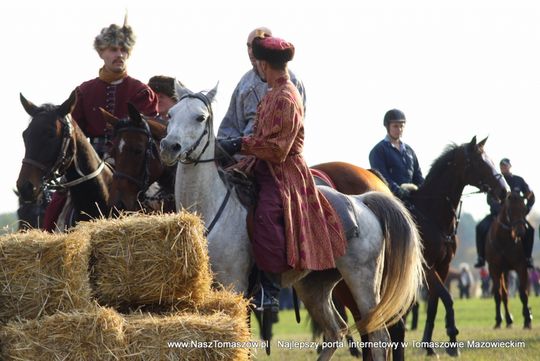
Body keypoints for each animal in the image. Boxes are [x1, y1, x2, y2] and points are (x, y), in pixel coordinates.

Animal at [158, 84, 424, 360]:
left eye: (200, 117)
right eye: (170, 114)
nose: (169, 147)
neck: (210, 206)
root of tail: (361, 201)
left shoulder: (235, 286)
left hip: (362, 281)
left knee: (378, 335)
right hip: (314, 286)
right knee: (336, 330)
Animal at [314, 136, 508, 358]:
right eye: (478, 161)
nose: (504, 190)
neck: (432, 215)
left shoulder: (443, 267)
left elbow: (434, 303)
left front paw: (430, 345)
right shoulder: (426, 267)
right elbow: (447, 297)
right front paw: (452, 339)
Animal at [486, 190, 532, 328]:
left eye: (524, 209)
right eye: (510, 210)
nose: (520, 232)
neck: (503, 241)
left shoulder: (521, 266)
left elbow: (523, 293)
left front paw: (527, 320)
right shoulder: (494, 269)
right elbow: (498, 294)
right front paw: (498, 321)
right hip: (503, 272)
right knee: (504, 295)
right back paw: (508, 320)